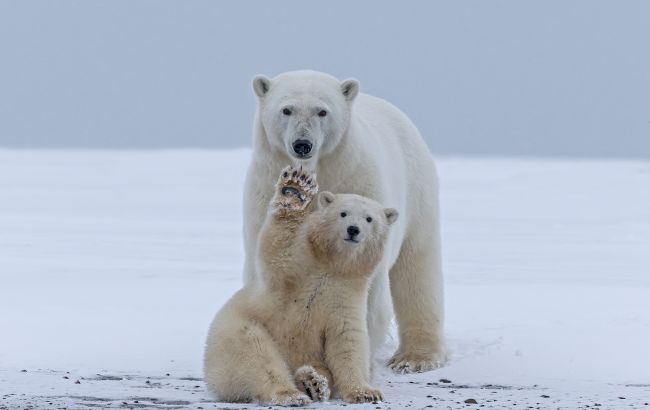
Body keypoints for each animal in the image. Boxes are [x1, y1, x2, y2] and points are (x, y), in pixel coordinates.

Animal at [204, 165, 394, 406]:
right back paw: (290, 393)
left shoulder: (346, 295)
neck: (331, 267)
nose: (353, 229)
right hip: (234, 332)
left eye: (369, 219)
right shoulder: (297, 272)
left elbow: (347, 341)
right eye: (343, 213)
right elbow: (278, 251)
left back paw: (313, 383)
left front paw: (365, 392)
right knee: (256, 354)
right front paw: (296, 189)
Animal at [243, 69, 446, 372]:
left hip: (418, 192)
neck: (318, 170)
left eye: (322, 111)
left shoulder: (358, 182)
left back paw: (415, 358)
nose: (302, 144)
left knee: (417, 268)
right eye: (287, 109)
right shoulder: (264, 189)